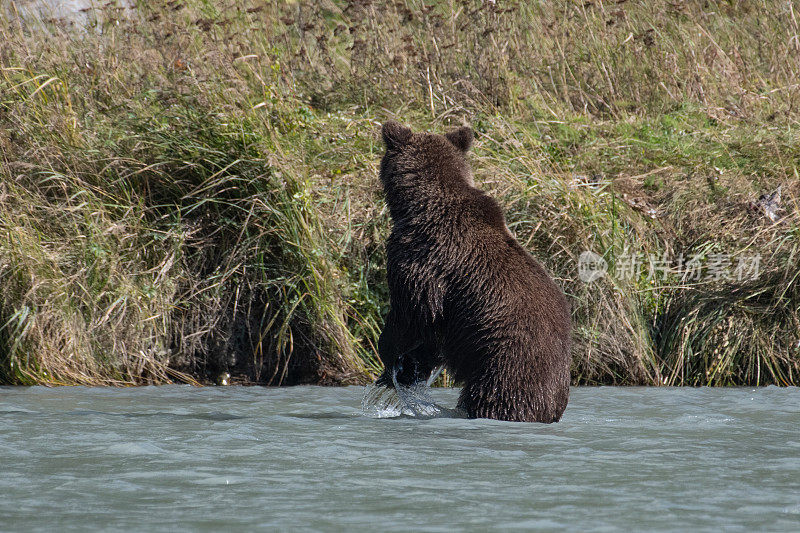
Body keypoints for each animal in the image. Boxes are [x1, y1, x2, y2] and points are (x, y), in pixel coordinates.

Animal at [376, 121, 572, 424]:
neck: (418, 206)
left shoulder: (422, 259)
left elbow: (413, 313)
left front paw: (388, 356)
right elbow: (430, 336)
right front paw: (405, 373)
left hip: (506, 367)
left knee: (495, 398)